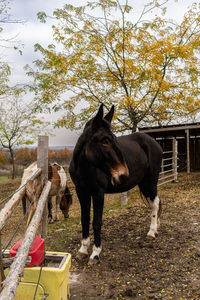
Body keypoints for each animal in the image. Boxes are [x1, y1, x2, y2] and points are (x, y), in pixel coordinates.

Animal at [69, 104, 162, 264]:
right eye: (104, 141)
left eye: (114, 140)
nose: (123, 175)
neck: (84, 167)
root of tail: (154, 142)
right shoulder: (81, 192)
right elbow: (84, 220)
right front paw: (82, 250)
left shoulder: (98, 193)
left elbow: (97, 222)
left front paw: (95, 253)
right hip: (143, 183)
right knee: (153, 203)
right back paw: (154, 230)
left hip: (151, 180)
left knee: (155, 203)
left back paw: (151, 232)